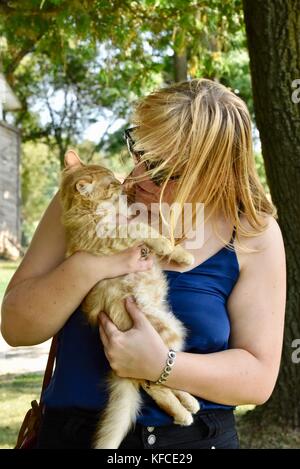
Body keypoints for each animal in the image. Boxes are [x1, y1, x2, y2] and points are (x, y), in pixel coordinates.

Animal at [59, 151, 200, 450]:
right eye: (112, 183)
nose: (123, 185)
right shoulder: (109, 239)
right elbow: (141, 228)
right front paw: (175, 250)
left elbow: (142, 223)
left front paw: (177, 251)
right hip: (165, 333)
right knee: (155, 382)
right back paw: (183, 414)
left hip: (173, 333)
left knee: (168, 374)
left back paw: (190, 402)